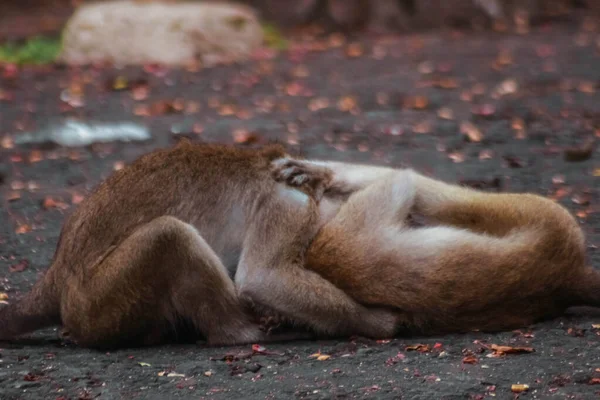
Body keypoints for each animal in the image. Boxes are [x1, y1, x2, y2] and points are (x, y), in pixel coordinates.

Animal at [0, 142, 400, 348]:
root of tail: (58, 270)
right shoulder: (288, 205)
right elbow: (262, 278)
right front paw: (377, 321)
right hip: (95, 300)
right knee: (171, 236)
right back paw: (238, 334)